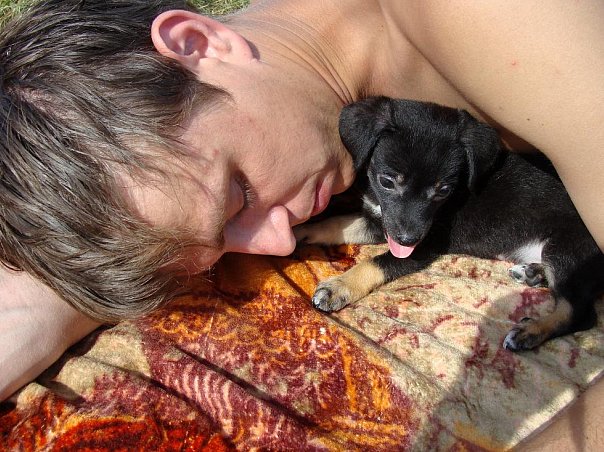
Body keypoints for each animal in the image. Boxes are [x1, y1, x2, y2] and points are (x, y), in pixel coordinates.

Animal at [294, 96, 604, 351]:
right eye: (387, 181)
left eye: (443, 190)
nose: (408, 239)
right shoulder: (384, 223)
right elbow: (336, 224)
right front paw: (301, 230)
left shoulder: (426, 245)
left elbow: (376, 262)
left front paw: (339, 287)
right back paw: (533, 273)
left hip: (567, 246)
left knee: (581, 314)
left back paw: (531, 332)